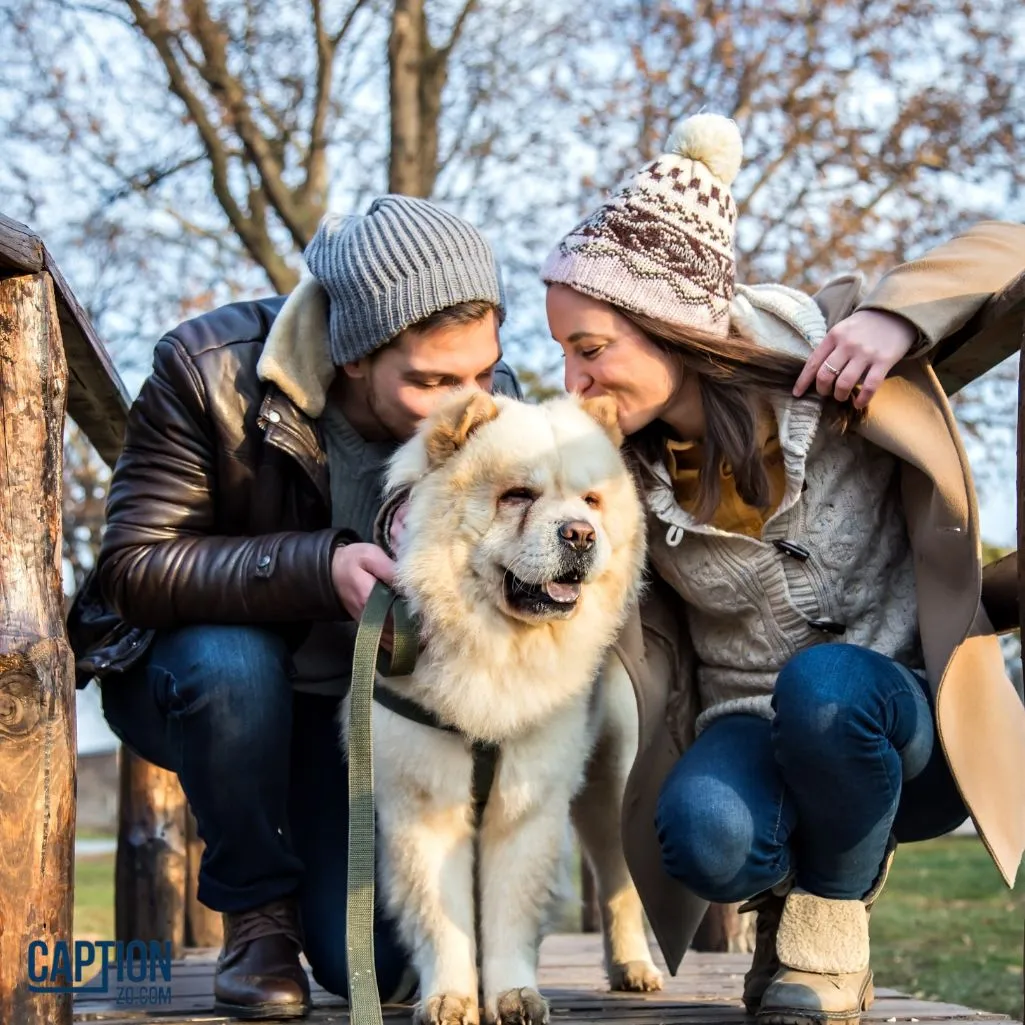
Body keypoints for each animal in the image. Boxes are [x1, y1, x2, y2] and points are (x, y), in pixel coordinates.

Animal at [344, 389, 660, 1025]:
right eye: (518, 496)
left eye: (591, 500)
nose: (580, 534)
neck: (498, 648)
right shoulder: (424, 802)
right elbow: (443, 916)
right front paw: (449, 998)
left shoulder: (527, 801)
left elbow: (511, 910)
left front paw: (514, 995)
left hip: (610, 780)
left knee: (618, 877)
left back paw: (634, 968)